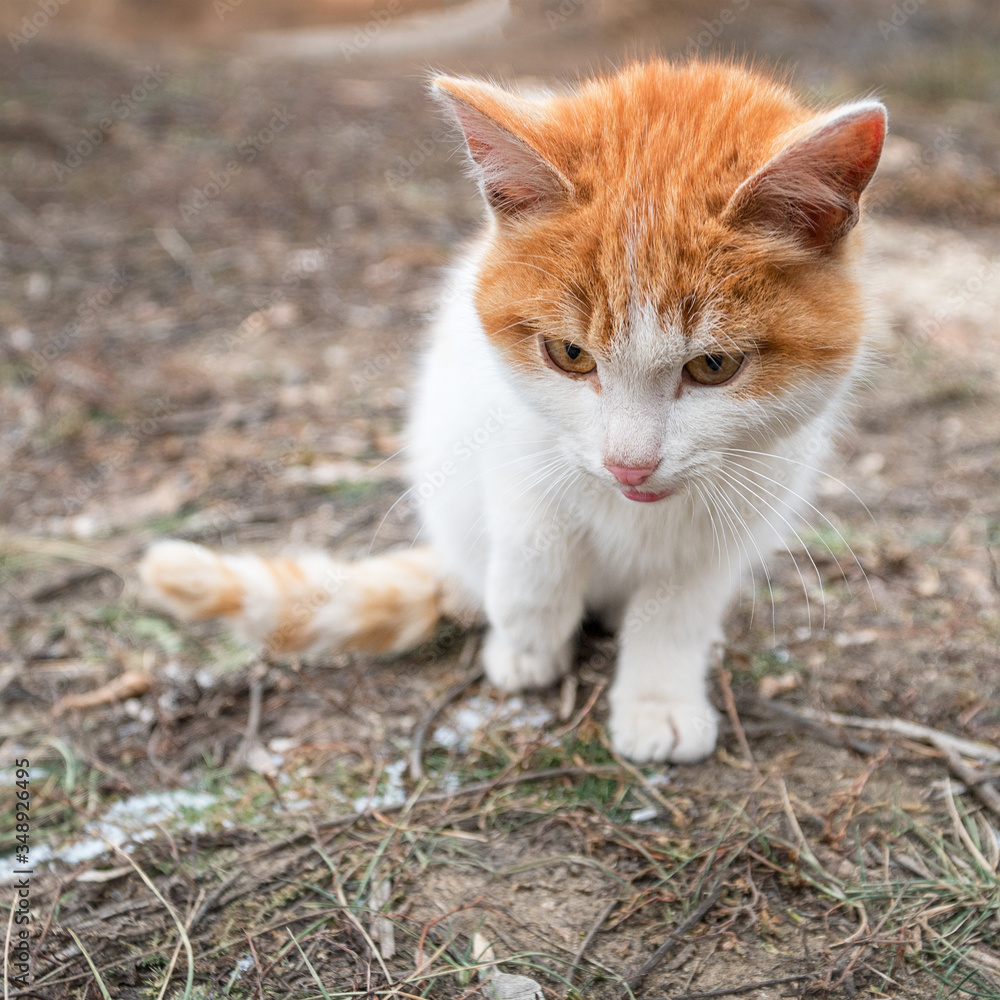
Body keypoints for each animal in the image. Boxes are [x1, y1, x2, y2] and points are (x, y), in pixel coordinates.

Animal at [139, 60, 884, 764]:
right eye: (570, 354)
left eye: (714, 366)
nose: (629, 464)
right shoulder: (505, 425)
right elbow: (534, 539)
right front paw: (527, 641)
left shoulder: (743, 506)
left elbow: (677, 606)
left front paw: (659, 700)